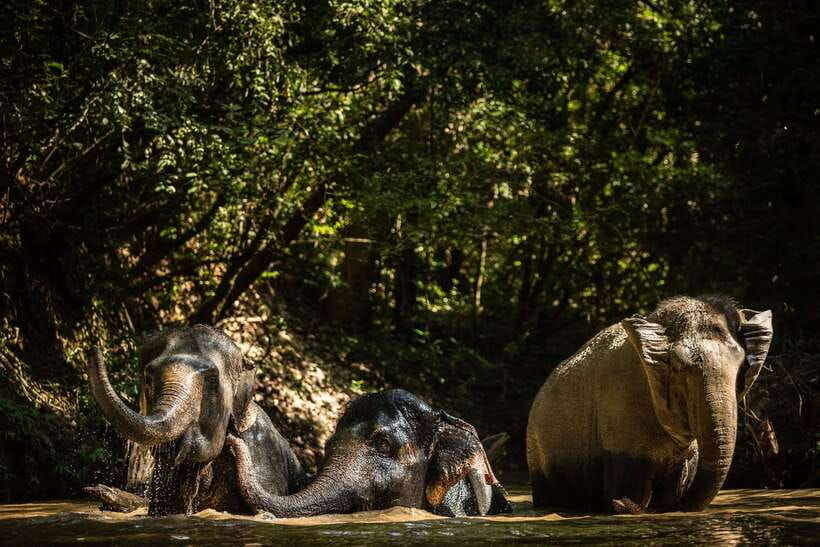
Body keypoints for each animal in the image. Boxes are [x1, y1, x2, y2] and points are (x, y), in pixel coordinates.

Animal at [526, 295, 773, 513]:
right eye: (679, 368)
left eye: (741, 367)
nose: (619, 503)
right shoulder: (620, 406)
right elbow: (631, 488)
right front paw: (626, 504)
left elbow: (673, 492)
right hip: (537, 452)